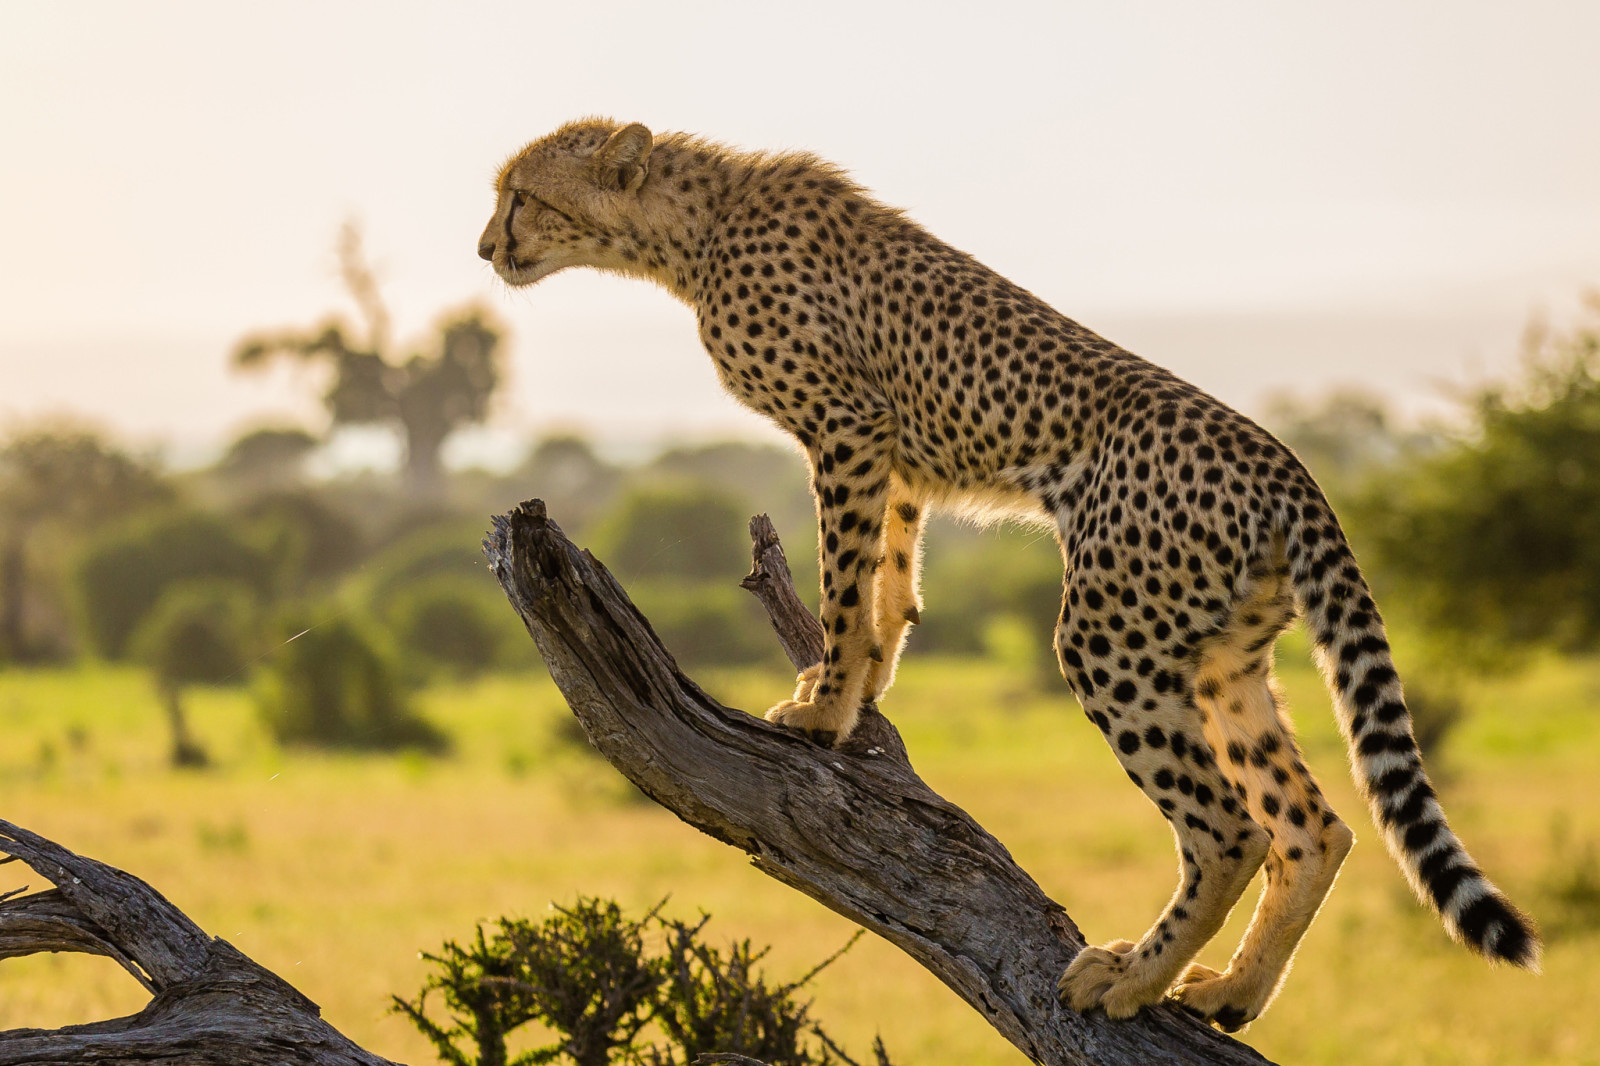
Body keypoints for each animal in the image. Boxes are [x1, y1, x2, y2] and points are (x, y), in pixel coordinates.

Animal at [480, 120, 1542, 1024]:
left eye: (521, 196)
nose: (486, 248)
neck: (688, 228)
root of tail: (1290, 467)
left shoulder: (849, 427)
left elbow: (843, 581)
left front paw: (823, 710)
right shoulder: (895, 455)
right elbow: (888, 585)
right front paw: (858, 691)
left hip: (1111, 636)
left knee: (1230, 828)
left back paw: (1130, 979)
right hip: (1223, 659)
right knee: (1315, 826)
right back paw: (1232, 992)